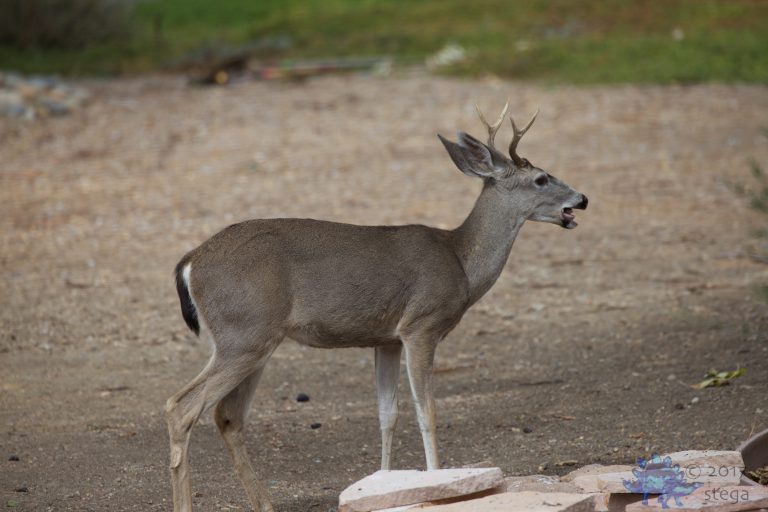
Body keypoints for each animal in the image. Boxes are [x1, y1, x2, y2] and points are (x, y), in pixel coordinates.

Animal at [165, 102, 588, 512]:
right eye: (541, 178)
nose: (582, 199)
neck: (461, 262)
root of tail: (189, 262)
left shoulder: (385, 339)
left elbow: (388, 415)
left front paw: (382, 485)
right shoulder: (421, 324)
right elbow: (426, 412)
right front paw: (438, 484)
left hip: (251, 340)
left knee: (227, 416)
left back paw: (264, 504)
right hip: (244, 333)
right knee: (181, 407)